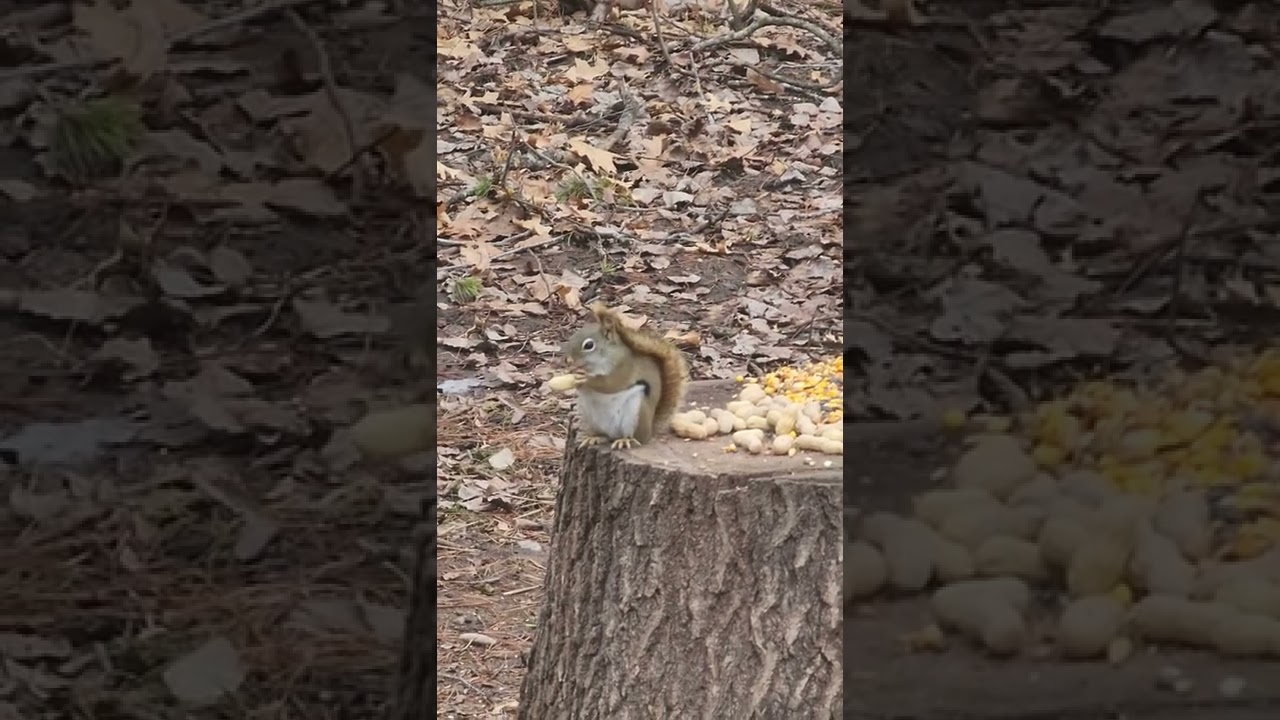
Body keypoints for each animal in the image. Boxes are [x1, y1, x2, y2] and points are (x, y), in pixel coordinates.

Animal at [561, 302, 689, 449]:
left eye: (589, 345)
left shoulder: (624, 366)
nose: (568, 360)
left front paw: (586, 379)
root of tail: (650, 431)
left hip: (635, 413)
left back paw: (625, 440)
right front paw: (571, 374)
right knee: (605, 435)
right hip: (589, 416)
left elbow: (610, 383)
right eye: (572, 338)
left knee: (636, 438)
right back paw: (595, 437)